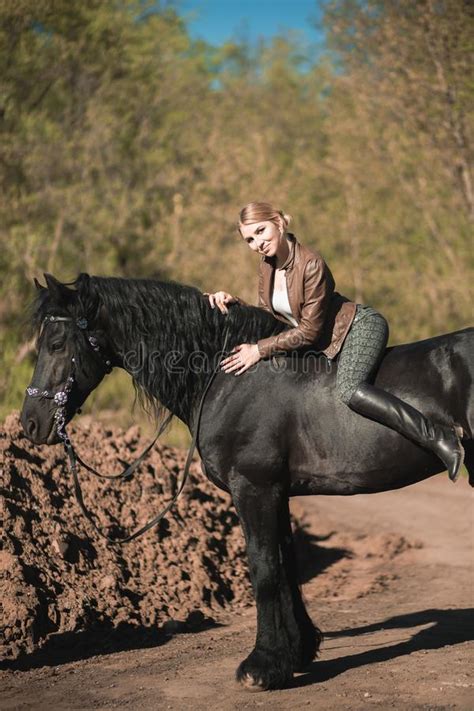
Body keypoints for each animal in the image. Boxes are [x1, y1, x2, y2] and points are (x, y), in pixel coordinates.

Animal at [19, 272, 474, 688]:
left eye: (56, 345)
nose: (29, 424)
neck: (227, 378)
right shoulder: (278, 492)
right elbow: (285, 563)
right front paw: (297, 651)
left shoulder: (253, 488)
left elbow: (264, 570)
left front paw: (262, 666)